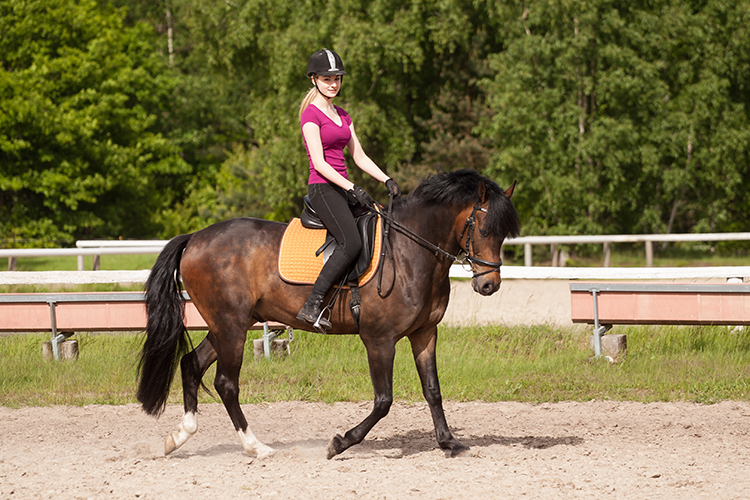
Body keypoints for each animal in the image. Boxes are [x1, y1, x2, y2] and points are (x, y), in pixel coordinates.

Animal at [138, 170, 520, 458]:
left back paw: (179, 436)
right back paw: (256, 447)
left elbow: (433, 390)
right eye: (484, 230)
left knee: (191, 363)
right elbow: (384, 400)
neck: (410, 251)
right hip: (231, 327)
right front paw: (340, 443)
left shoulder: (424, 333)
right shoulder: (379, 340)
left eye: (503, 234)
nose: (489, 285)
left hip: (228, 326)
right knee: (225, 383)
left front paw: (449, 442)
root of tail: (194, 238)